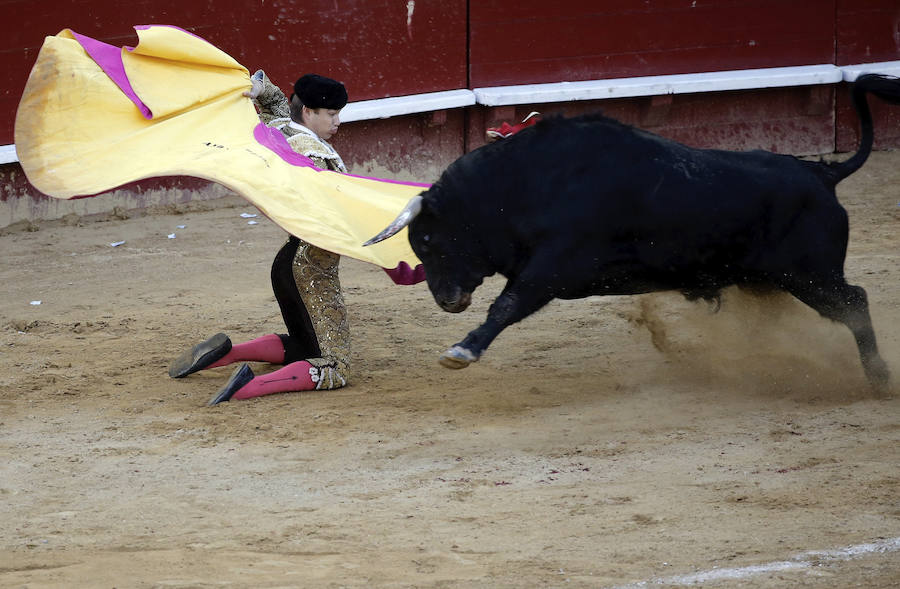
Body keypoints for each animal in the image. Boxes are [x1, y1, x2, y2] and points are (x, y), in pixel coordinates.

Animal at [368, 73, 900, 390]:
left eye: (429, 240)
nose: (446, 300)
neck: (525, 183)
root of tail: (822, 174)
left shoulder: (553, 267)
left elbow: (507, 305)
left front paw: (462, 350)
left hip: (810, 275)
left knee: (855, 302)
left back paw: (877, 379)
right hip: (773, 280)